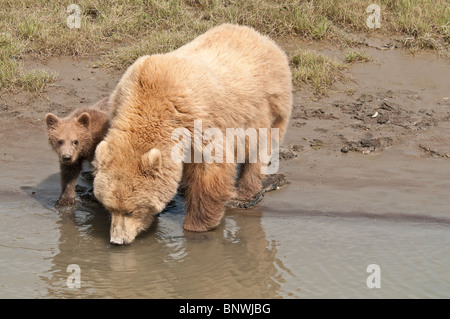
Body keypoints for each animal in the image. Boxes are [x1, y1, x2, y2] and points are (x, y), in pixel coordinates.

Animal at [94, 24, 292, 245]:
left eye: (131, 210)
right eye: (110, 207)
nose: (117, 240)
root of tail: (262, 37)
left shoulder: (197, 121)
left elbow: (211, 168)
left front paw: (197, 224)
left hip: (266, 106)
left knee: (259, 148)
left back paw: (244, 192)